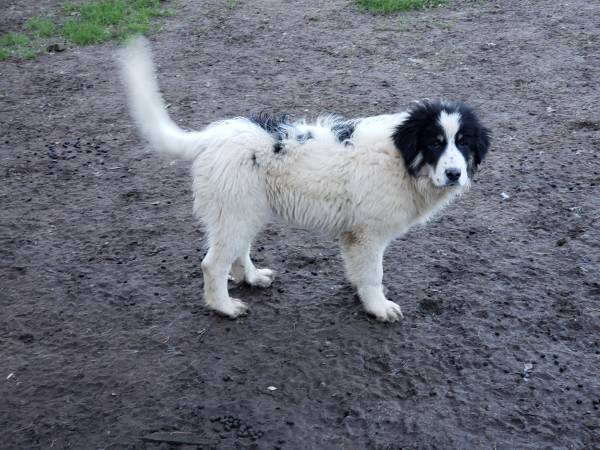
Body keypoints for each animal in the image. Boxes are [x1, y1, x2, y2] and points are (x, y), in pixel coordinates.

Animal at [119, 37, 490, 320]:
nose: (454, 174)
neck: (402, 160)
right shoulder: (368, 235)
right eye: (435, 142)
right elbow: (374, 275)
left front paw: (361, 294)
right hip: (236, 212)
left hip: (244, 212)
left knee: (237, 253)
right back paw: (224, 307)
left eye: (463, 143)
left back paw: (252, 277)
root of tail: (211, 138)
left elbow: (360, 272)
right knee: (212, 264)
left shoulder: (355, 236)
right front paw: (379, 307)